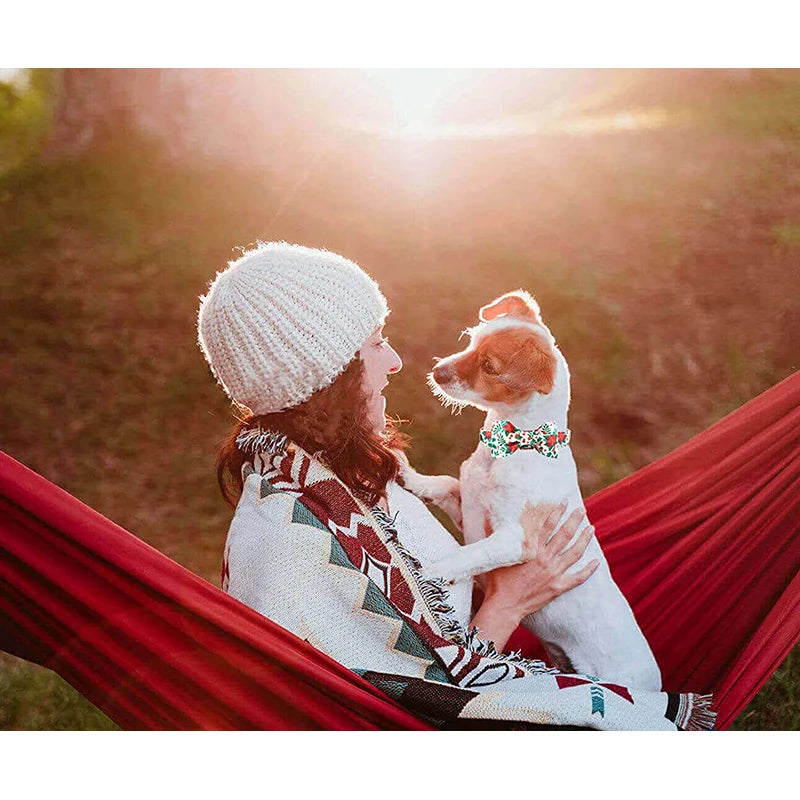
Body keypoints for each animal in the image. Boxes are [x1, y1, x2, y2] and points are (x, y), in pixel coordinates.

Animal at [400, 290, 664, 692]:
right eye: (470, 340)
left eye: (489, 367)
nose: (437, 372)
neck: (514, 446)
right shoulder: (470, 510)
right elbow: (446, 483)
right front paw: (412, 477)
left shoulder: (515, 539)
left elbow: (471, 554)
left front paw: (434, 572)